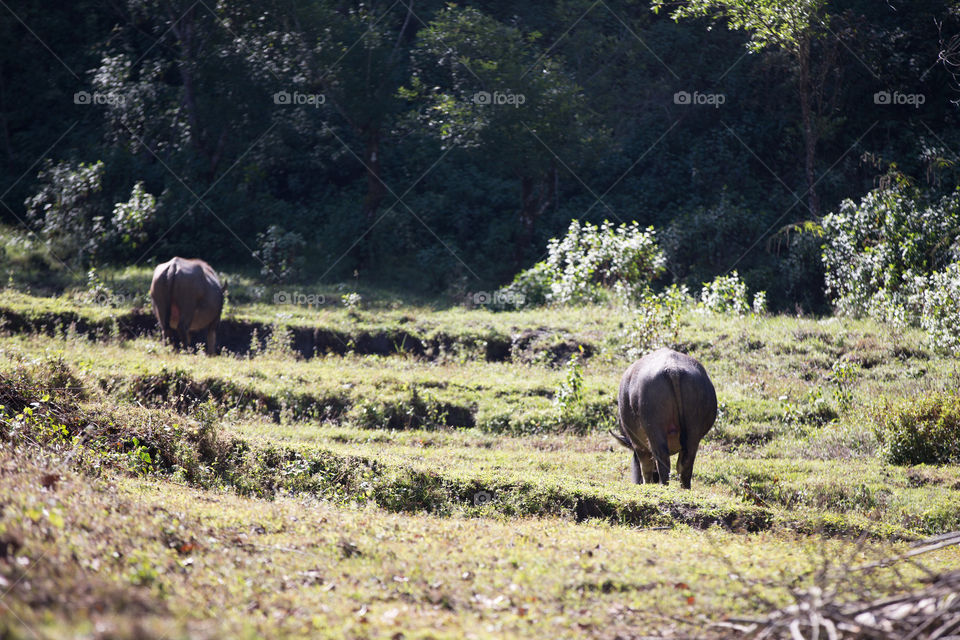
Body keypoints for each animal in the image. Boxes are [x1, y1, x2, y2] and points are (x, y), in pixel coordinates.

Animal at [612, 348, 716, 488]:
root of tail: (673, 369)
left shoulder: (638, 444)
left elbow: (645, 466)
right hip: (693, 430)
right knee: (686, 463)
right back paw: (684, 488)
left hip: (654, 429)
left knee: (662, 460)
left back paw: (663, 486)